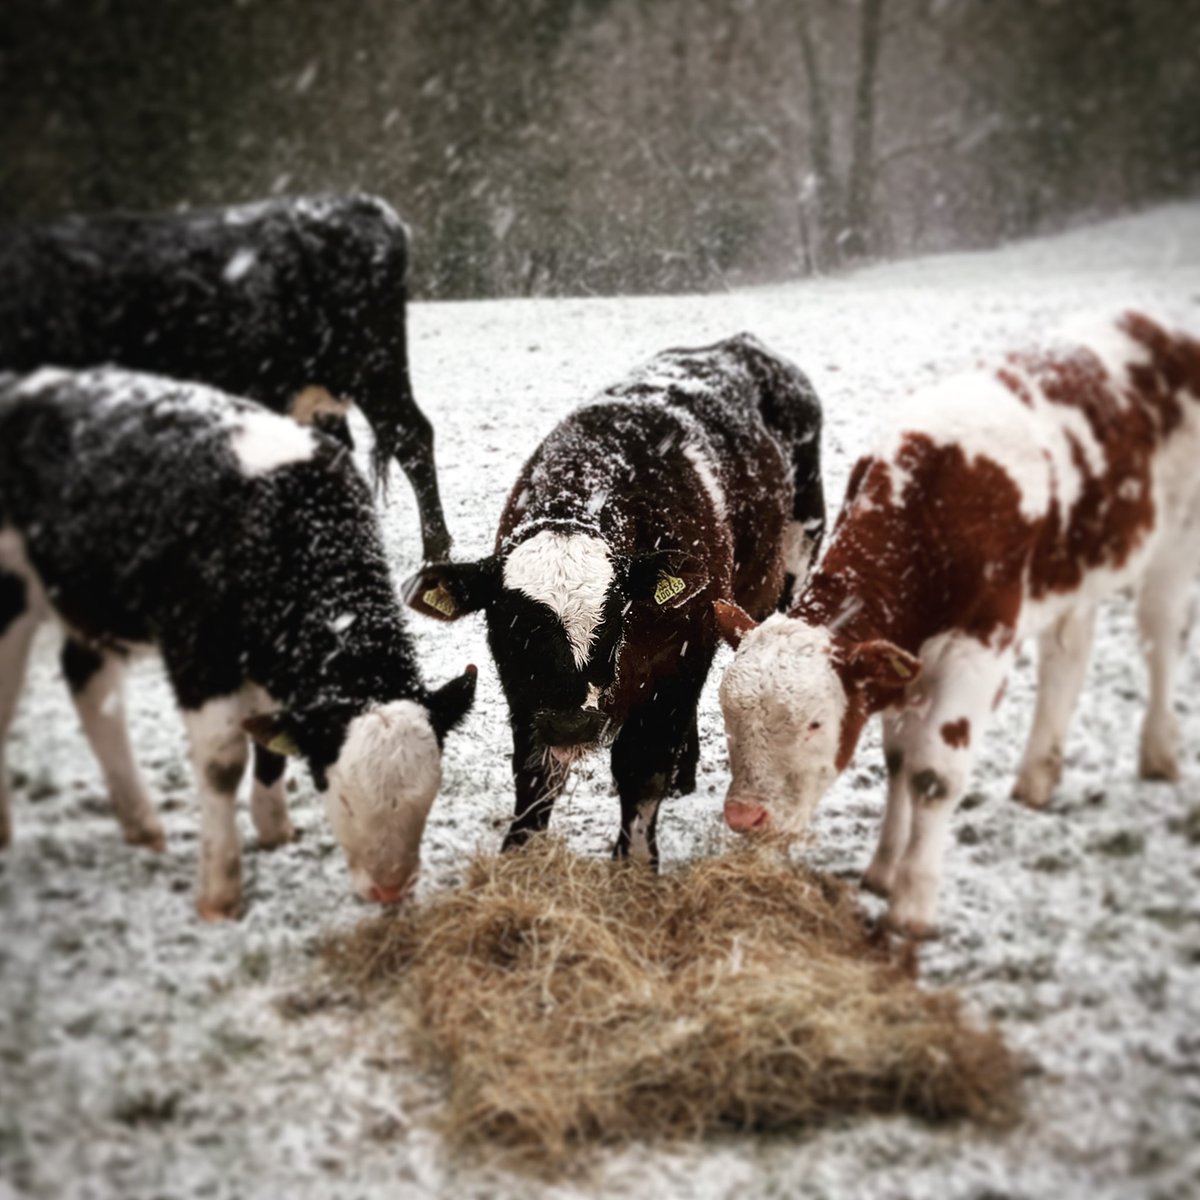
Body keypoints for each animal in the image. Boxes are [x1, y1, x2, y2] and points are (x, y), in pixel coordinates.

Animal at [0, 366, 476, 919]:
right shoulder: (197, 655)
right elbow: (222, 765)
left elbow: (271, 741)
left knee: (90, 687)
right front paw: (220, 892)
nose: (390, 890)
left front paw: (274, 829)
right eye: (340, 794)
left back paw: (140, 821)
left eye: (429, 795)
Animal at [405, 334, 824, 864]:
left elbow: (643, 770)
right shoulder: (524, 690)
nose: (570, 726)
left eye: (612, 617)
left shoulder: (681, 655)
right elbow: (535, 776)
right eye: (513, 626)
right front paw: (519, 854)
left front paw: (638, 864)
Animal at [715, 312, 1200, 937]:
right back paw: (1039, 773)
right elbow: (898, 762)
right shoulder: (902, 658)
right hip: (1078, 573)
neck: (934, 504)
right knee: (1068, 654)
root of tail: (1153, 326)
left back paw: (1159, 751)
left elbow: (932, 775)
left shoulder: (979, 649)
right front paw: (882, 870)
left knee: (1160, 638)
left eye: (816, 723)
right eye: (728, 716)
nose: (744, 815)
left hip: (1177, 536)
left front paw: (913, 904)